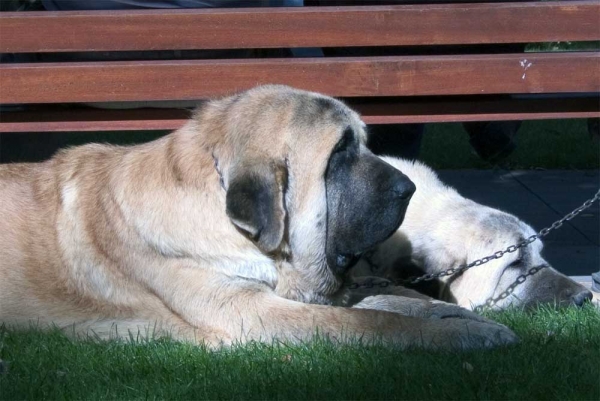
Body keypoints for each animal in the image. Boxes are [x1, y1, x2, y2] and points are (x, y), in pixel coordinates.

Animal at [0, 86, 516, 348]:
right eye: (340, 152)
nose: (409, 188)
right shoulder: (250, 311)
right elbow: (376, 324)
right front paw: (460, 334)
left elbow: (394, 300)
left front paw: (462, 317)